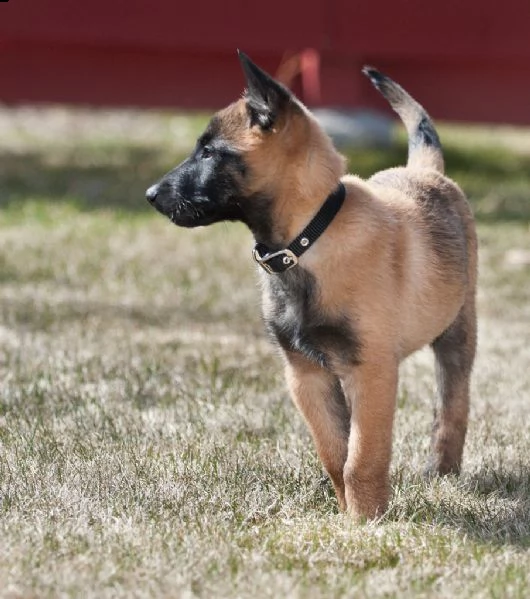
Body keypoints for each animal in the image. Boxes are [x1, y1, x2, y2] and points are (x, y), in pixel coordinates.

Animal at [146, 51, 476, 520]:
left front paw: (369, 522)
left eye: (210, 152)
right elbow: (336, 453)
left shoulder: (371, 371)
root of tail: (423, 171)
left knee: (453, 403)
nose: (151, 195)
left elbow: (362, 457)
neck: (307, 240)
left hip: (457, 332)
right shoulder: (306, 374)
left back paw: (442, 469)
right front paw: (349, 514)